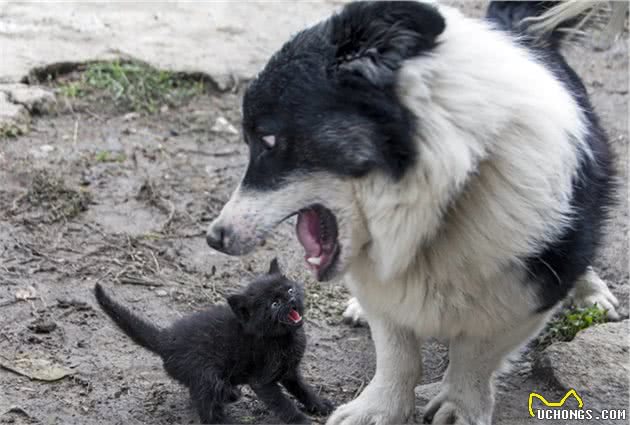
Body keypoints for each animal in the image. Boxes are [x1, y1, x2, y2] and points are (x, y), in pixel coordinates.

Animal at [94, 256, 334, 422]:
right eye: (274, 305)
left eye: (290, 289)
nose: (290, 299)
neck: (285, 337)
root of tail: (166, 338)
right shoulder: (263, 380)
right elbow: (283, 404)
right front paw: (301, 420)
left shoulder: (290, 371)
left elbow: (303, 388)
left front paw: (320, 405)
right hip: (204, 372)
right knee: (209, 408)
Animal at [209, 1, 624, 422]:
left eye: (268, 140)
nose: (215, 238)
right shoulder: (384, 288)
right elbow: (397, 352)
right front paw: (380, 407)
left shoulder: (527, 294)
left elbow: (475, 355)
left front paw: (460, 405)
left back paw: (591, 291)